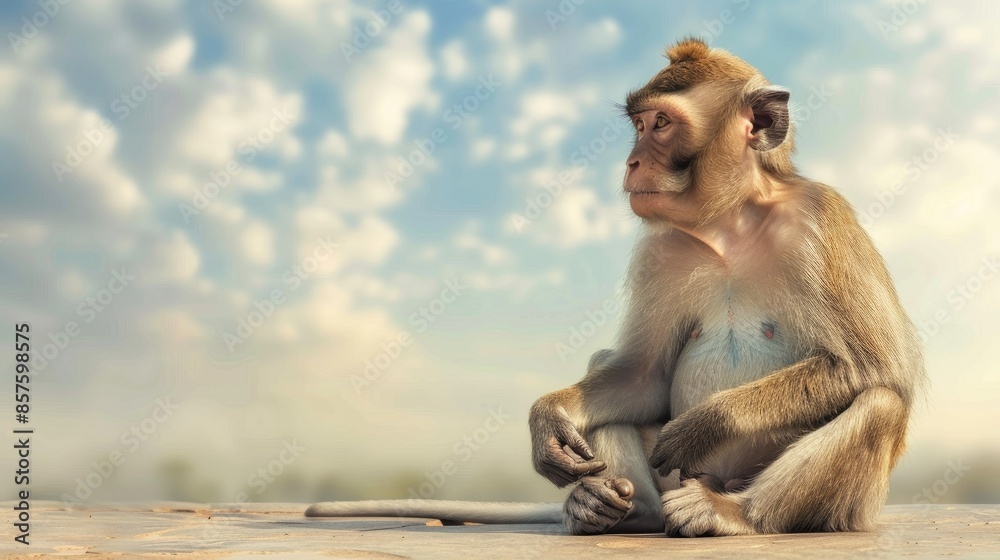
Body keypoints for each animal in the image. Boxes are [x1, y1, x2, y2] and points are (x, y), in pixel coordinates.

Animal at [307, 37, 924, 537]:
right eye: (638, 125)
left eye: (661, 125)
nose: (630, 161)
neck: (727, 223)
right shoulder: (659, 252)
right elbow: (642, 377)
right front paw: (548, 420)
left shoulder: (823, 218)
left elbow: (871, 366)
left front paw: (706, 423)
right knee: (611, 383)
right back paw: (612, 510)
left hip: (834, 505)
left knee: (879, 401)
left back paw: (733, 515)